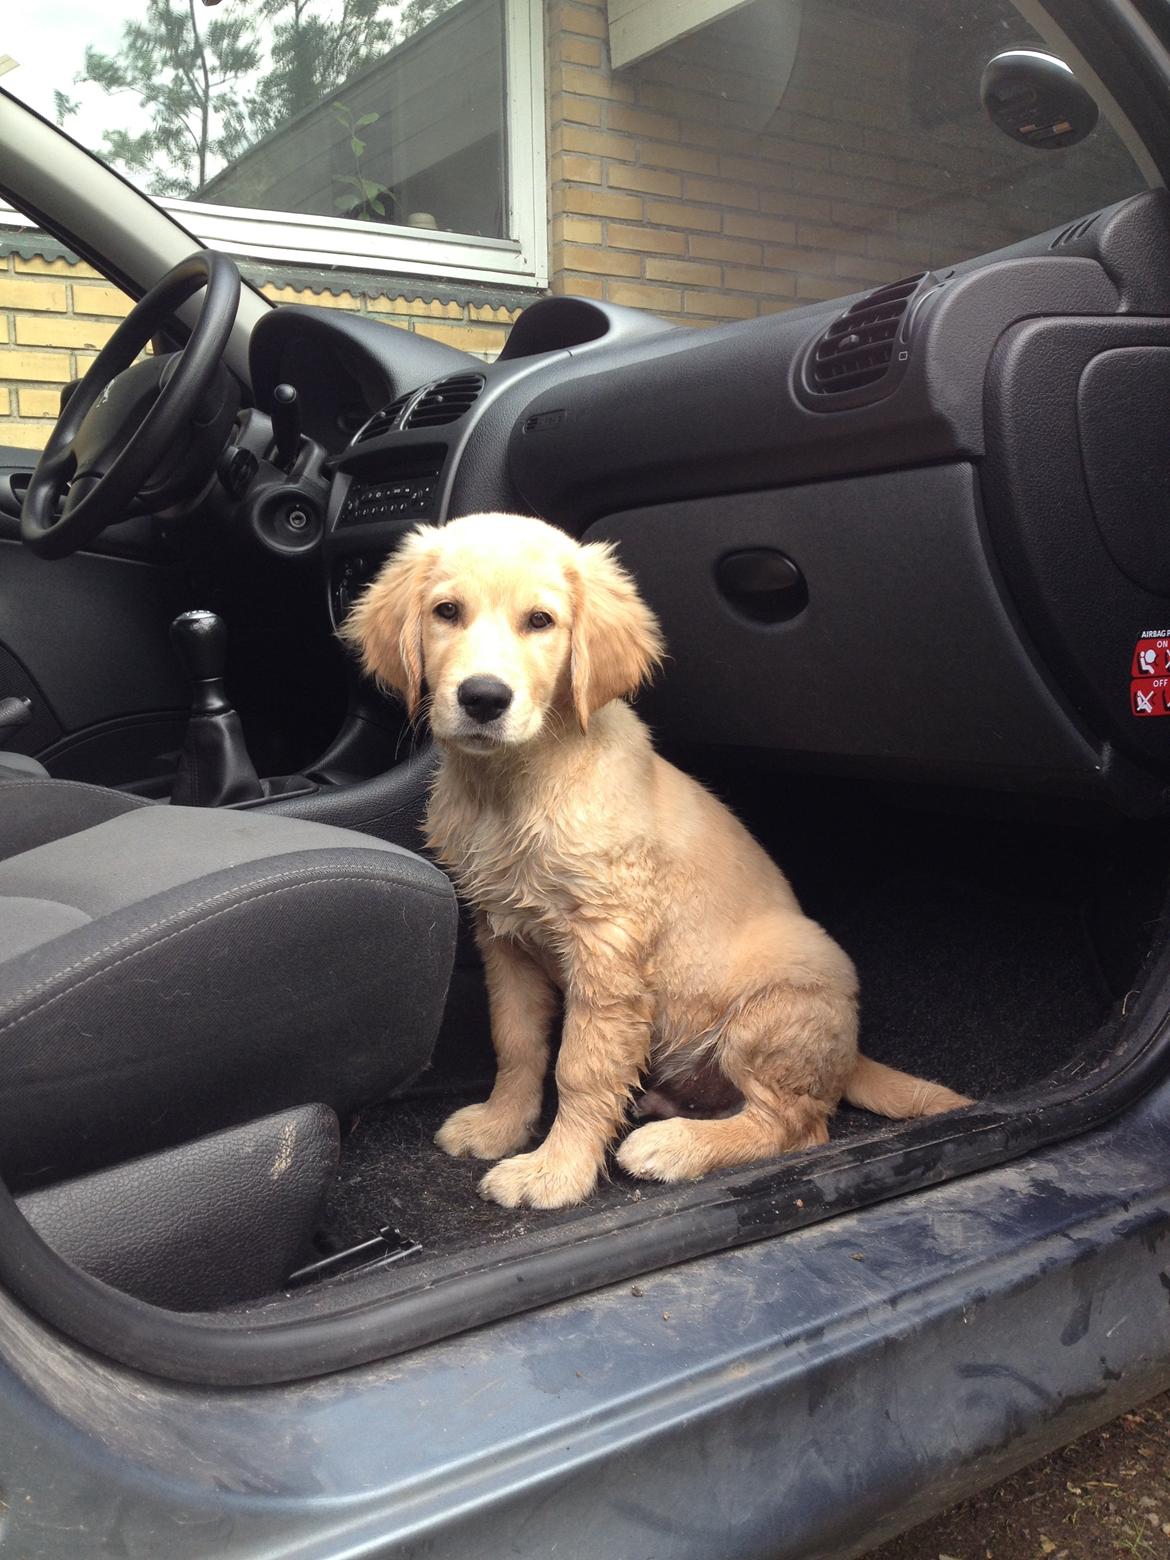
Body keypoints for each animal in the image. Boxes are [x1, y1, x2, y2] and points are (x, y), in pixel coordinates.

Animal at [341, 517, 973, 1210]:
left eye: (540, 621)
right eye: (446, 612)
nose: (483, 698)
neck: (511, 786)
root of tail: (850, 1054)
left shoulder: (606, 946)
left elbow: (581, 1066)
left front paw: (556, 1172)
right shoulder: (502, 936)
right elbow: (518, 1042)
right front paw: (501, 1126)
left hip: (775, 998)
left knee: (797, 1125)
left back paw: (676, 1145)